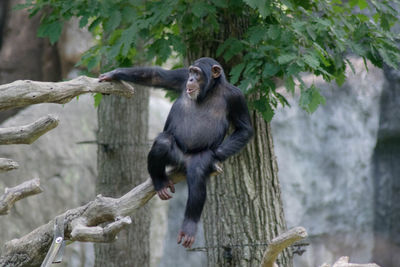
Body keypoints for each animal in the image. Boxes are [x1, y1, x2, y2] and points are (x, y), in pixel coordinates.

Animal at [98, 57, 252, 249]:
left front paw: (213, 154)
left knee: (197, 171)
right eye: (191, 71)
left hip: (191, 162)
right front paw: (113, 73)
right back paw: (160, 182)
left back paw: (189, 226)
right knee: (163, 143)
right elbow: (157, 76)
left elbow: (243, 129)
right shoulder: (180, 77)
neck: (210, 90)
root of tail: (183, 161)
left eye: (198, 73)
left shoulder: (236, 97)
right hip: (174, 157)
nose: (192, 79)